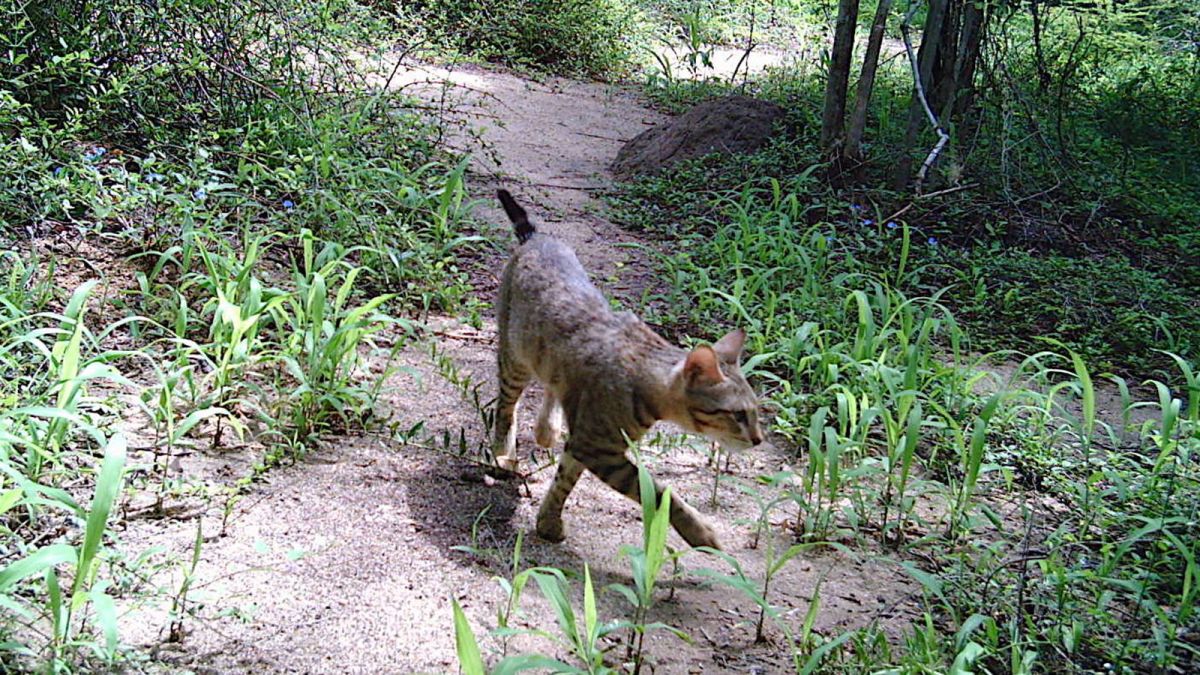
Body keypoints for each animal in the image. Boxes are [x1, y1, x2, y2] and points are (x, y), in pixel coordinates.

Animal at [492, 187, 763, 547]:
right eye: (737, 415)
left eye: (755, 411)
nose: (759, 440)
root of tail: (536, 237)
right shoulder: (599, 449)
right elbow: (659, 492)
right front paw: (699, 530)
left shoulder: (587, 444)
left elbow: (565, 479)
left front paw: (548, 520)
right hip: (515, 358)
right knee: (505, 405)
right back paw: (502, 451)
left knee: (550, 384)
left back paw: (547, 428)